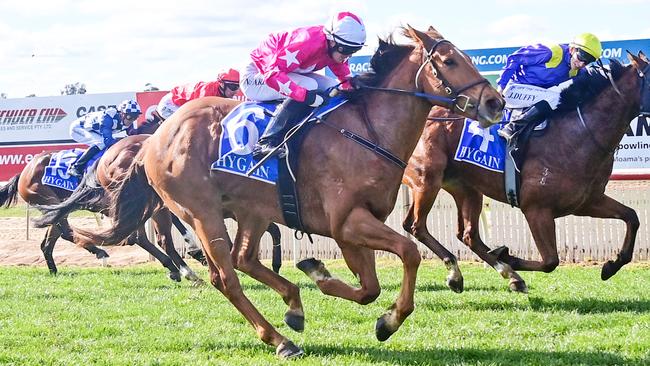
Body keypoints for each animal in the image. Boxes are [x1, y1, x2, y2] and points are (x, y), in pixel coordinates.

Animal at [68, 27, 502, 358]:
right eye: (449, 61)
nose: (495, 102)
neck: (365, 131)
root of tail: (153, 140)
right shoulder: (347, 222)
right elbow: (408, 253)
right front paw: (388, 319)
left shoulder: (352, 228)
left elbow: (369, 288)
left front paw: (325, 278)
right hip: (203, 213)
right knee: (225, 277)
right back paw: (279, 339)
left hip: (252, 210)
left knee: (244, 258)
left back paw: (293, 305)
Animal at [400, 50, 648, 292]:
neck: (578, 135)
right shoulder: (536, 209)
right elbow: (550, 261)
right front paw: (508, 257)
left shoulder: (587, 202)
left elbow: (632, 217)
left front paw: (612, 265)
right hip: (427, 180)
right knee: (416, 226)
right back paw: (459, 273)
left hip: (466, 189)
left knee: (467, 235)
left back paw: (510, 275)